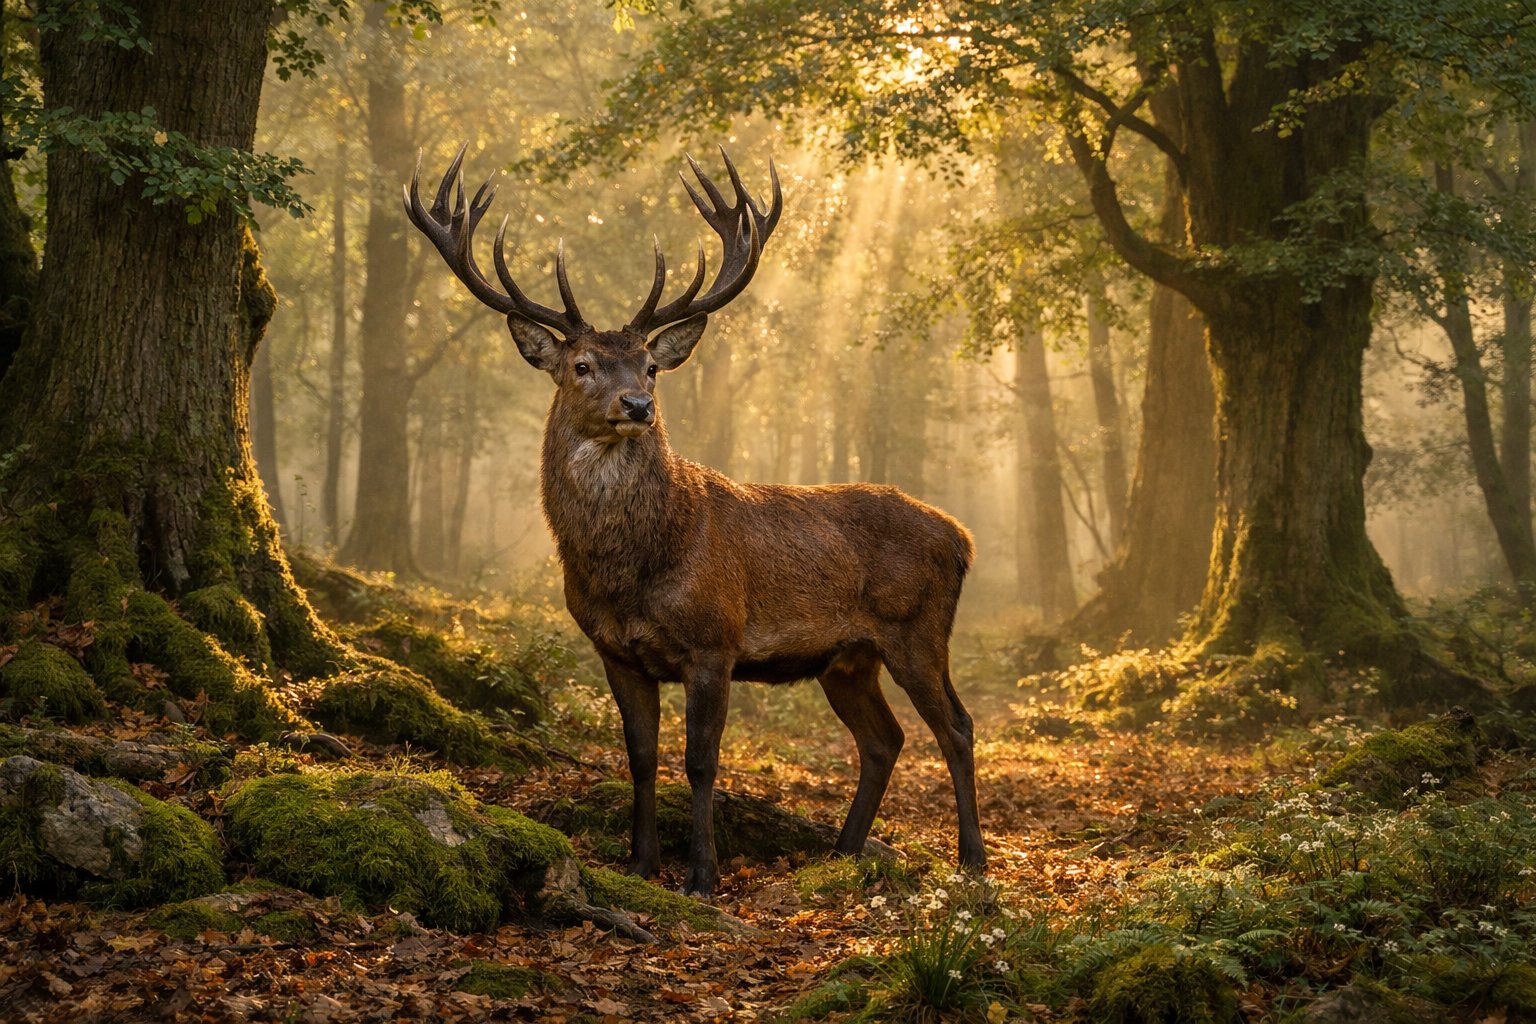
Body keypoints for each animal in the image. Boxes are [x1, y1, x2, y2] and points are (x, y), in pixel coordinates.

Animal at [404, 145, 985, 896]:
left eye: (652, 366)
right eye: (581, 365)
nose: (636, 405)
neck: (631, 571)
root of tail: (962, 537)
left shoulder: (715, 639)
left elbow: (701, 762)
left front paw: (701, 874)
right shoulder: (615, 650)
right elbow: (641, 757)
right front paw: (641, 861)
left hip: (918, 626)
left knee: (957, 726)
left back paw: (972, 859)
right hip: (846, 658)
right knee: (885, 739)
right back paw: (842, 851)